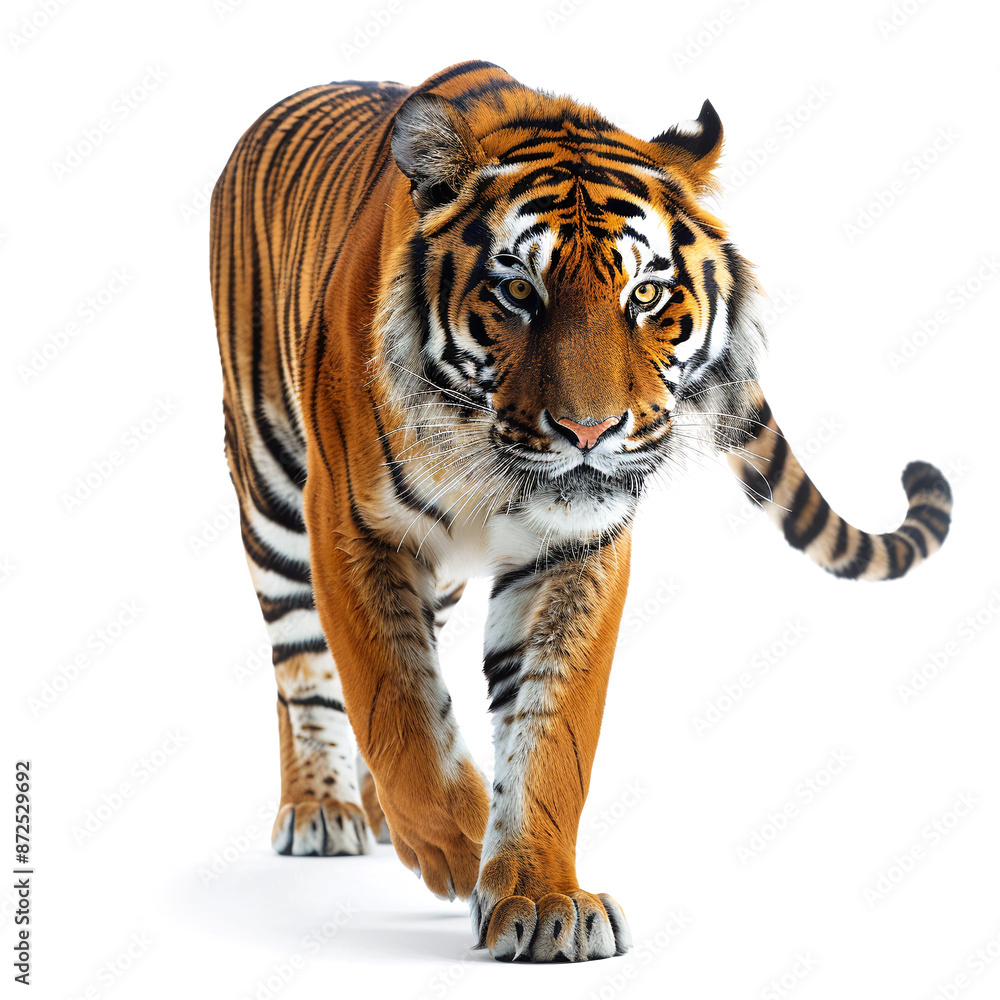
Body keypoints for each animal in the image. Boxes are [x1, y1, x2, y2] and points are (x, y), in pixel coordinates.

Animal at [209, 60, 952, 963]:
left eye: (647, 295)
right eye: (516, 292)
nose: (591, 432)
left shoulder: (573, 549)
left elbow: (553, 731)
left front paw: (539, 895)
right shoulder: (352, 529)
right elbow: (395, 703)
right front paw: (459, 847)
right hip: (272, 491)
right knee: (303, 667)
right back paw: (322, 808)